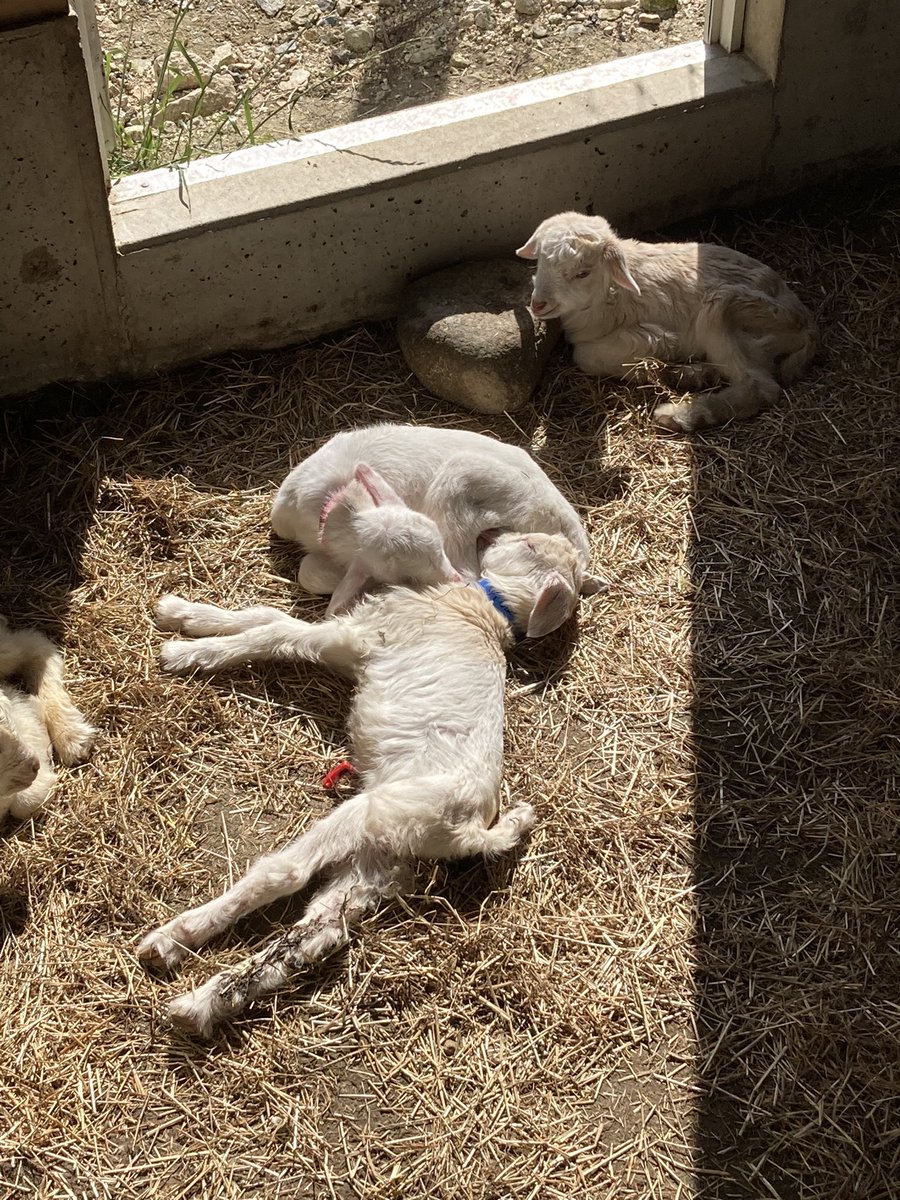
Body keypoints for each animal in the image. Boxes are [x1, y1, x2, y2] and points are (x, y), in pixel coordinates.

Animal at [138, 530, 584, 1036]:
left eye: (528, 544)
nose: (490, 536)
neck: (488, 606)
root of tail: (470, 833)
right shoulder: (349, 636)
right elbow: (267, 615)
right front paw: (181, 612)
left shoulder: (357, 636)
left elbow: (273, 633)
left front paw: (186, 652)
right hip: (378, 860)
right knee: (319, 932)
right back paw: (196, 1002)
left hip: (369, 815)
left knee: (284, 874)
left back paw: (173, 940)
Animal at [517, 212, 816, 432]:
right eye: (540, 260)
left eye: (582, 272)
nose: (538, 303)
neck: (610, 295)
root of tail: (807, 326)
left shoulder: (648, 337)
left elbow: (584, 356)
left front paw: (644, 371)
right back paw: (691, 375)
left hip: (729, 307)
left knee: (761, 387)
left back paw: (678, 415)